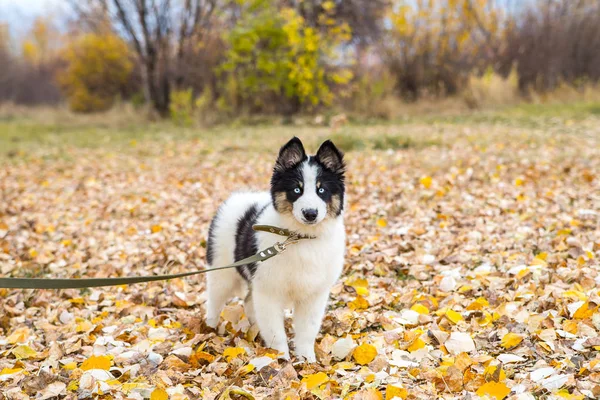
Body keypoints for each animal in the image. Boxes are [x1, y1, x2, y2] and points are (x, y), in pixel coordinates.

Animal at [206, 138, 346, 362]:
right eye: (297, 190)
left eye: (321, 190)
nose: (310, 213)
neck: (300, 238)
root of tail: (239, 197)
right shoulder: (269, 291)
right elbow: (275, 332)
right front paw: (281, 359)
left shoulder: (314, 295)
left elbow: (307, 331)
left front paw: (307, 361)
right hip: (221, 271)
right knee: (214, 301)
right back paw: (208, 329)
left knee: (248, 302)